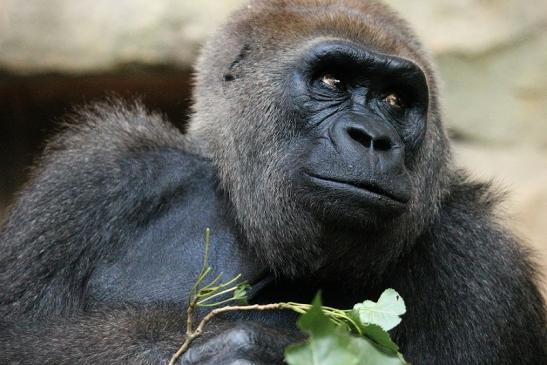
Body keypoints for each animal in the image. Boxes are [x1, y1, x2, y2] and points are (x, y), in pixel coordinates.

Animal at [1, 0, 547, 364]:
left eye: (395, 100)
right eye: (331, 82)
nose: (373, 138)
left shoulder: (483, 267)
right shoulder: (102, 173)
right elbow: (16, 336)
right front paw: (226, 347)